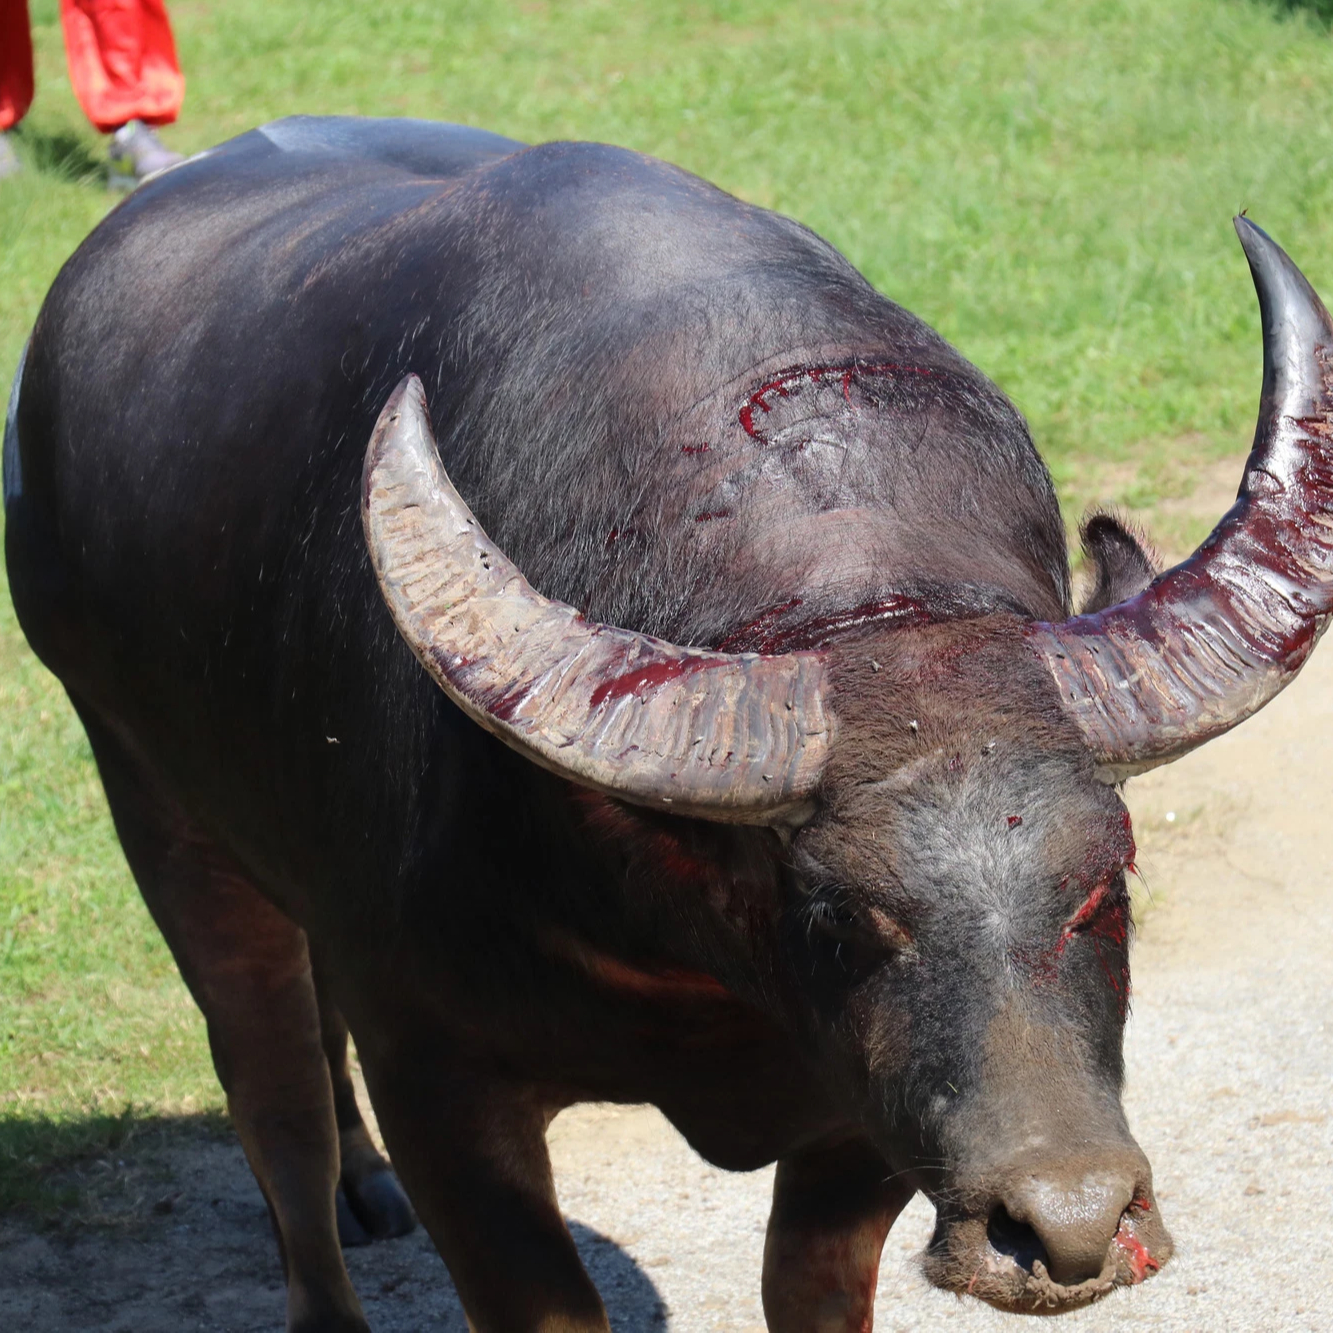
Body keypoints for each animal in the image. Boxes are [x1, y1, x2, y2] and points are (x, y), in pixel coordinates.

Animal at [10, 119, 1333, 1327]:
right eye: (843, 914)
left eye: (1108, 882)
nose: (1067, 1223)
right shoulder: (440, 1079)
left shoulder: (859, 1113)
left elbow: (807, 1285)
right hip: (151, 792)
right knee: (272, 1093)